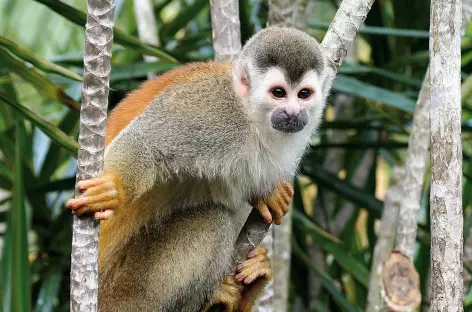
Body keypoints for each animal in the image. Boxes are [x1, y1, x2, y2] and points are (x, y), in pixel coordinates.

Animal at [66, 26, 330, 312]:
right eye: (279, 93)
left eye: (304, 94)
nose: (293, 113)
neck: (251, 116)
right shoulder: (212, 112)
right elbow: (147, 142)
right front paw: (112, 188)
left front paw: (266, 194)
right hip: (122, 292)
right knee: (212, 221)